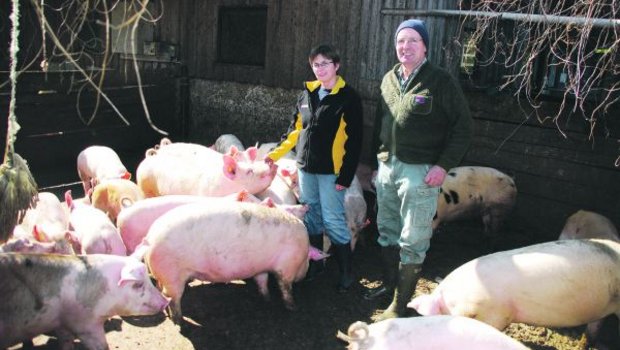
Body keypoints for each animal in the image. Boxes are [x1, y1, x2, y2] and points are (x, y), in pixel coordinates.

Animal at [0, 253, 170, 348]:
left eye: (149, 280)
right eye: (138, 284)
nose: (166, 301)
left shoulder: (62, 323)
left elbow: (66, 342)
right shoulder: (85, 324)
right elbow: (103, 346)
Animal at [143, 201, 312, 324]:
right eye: (307, 258)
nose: (305, 275)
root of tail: (149, 238)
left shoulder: (260, 268)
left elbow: (262, 281)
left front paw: (267, 299)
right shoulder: (287, 266)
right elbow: (285, 287)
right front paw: (294, 307)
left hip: (165, 276)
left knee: (161, 290)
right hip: (172, 275)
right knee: (172, 297)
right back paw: (179, 321)